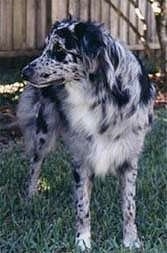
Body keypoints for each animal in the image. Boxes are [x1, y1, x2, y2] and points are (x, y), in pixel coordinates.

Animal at [17, 17, 155, 251]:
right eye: (45, 47)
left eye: (59, 49)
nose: (25, 72)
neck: (102, 96)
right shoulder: (82, 158)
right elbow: (82, 206)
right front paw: (83, 241)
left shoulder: (129, 159)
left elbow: (129, 206)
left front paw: (131, 240)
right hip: (44, 133)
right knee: (35, 166)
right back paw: (30, 198)